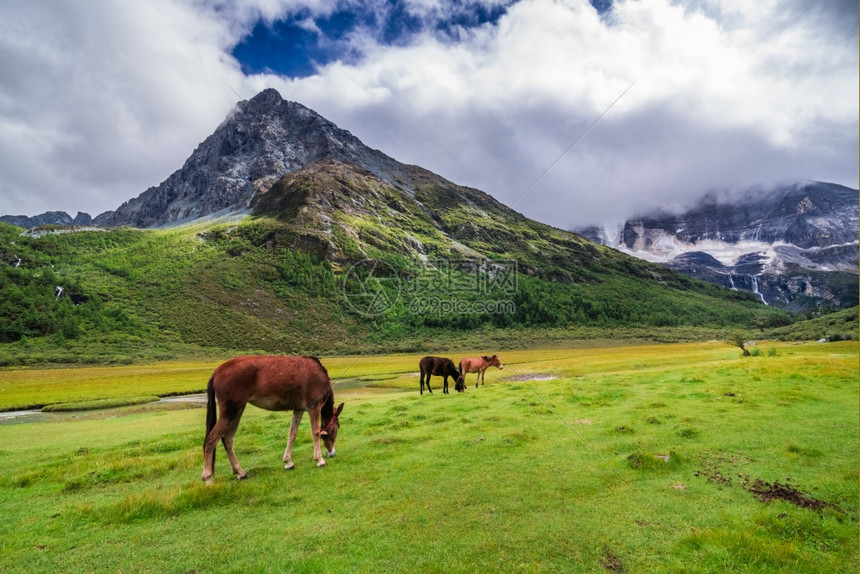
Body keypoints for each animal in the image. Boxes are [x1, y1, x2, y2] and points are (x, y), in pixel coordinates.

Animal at [203, 356, 344, 486]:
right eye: (337, 427)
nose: (332, 453)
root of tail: (218, 371)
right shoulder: (314, 407)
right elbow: (315, 433)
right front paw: (319, 460)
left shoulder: (298, 409)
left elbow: (292, 434)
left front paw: (288, 462)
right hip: (230, 411)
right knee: (211, 440)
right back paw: (208, 478)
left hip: (238, 410)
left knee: (228, 439)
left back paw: (241, 472)